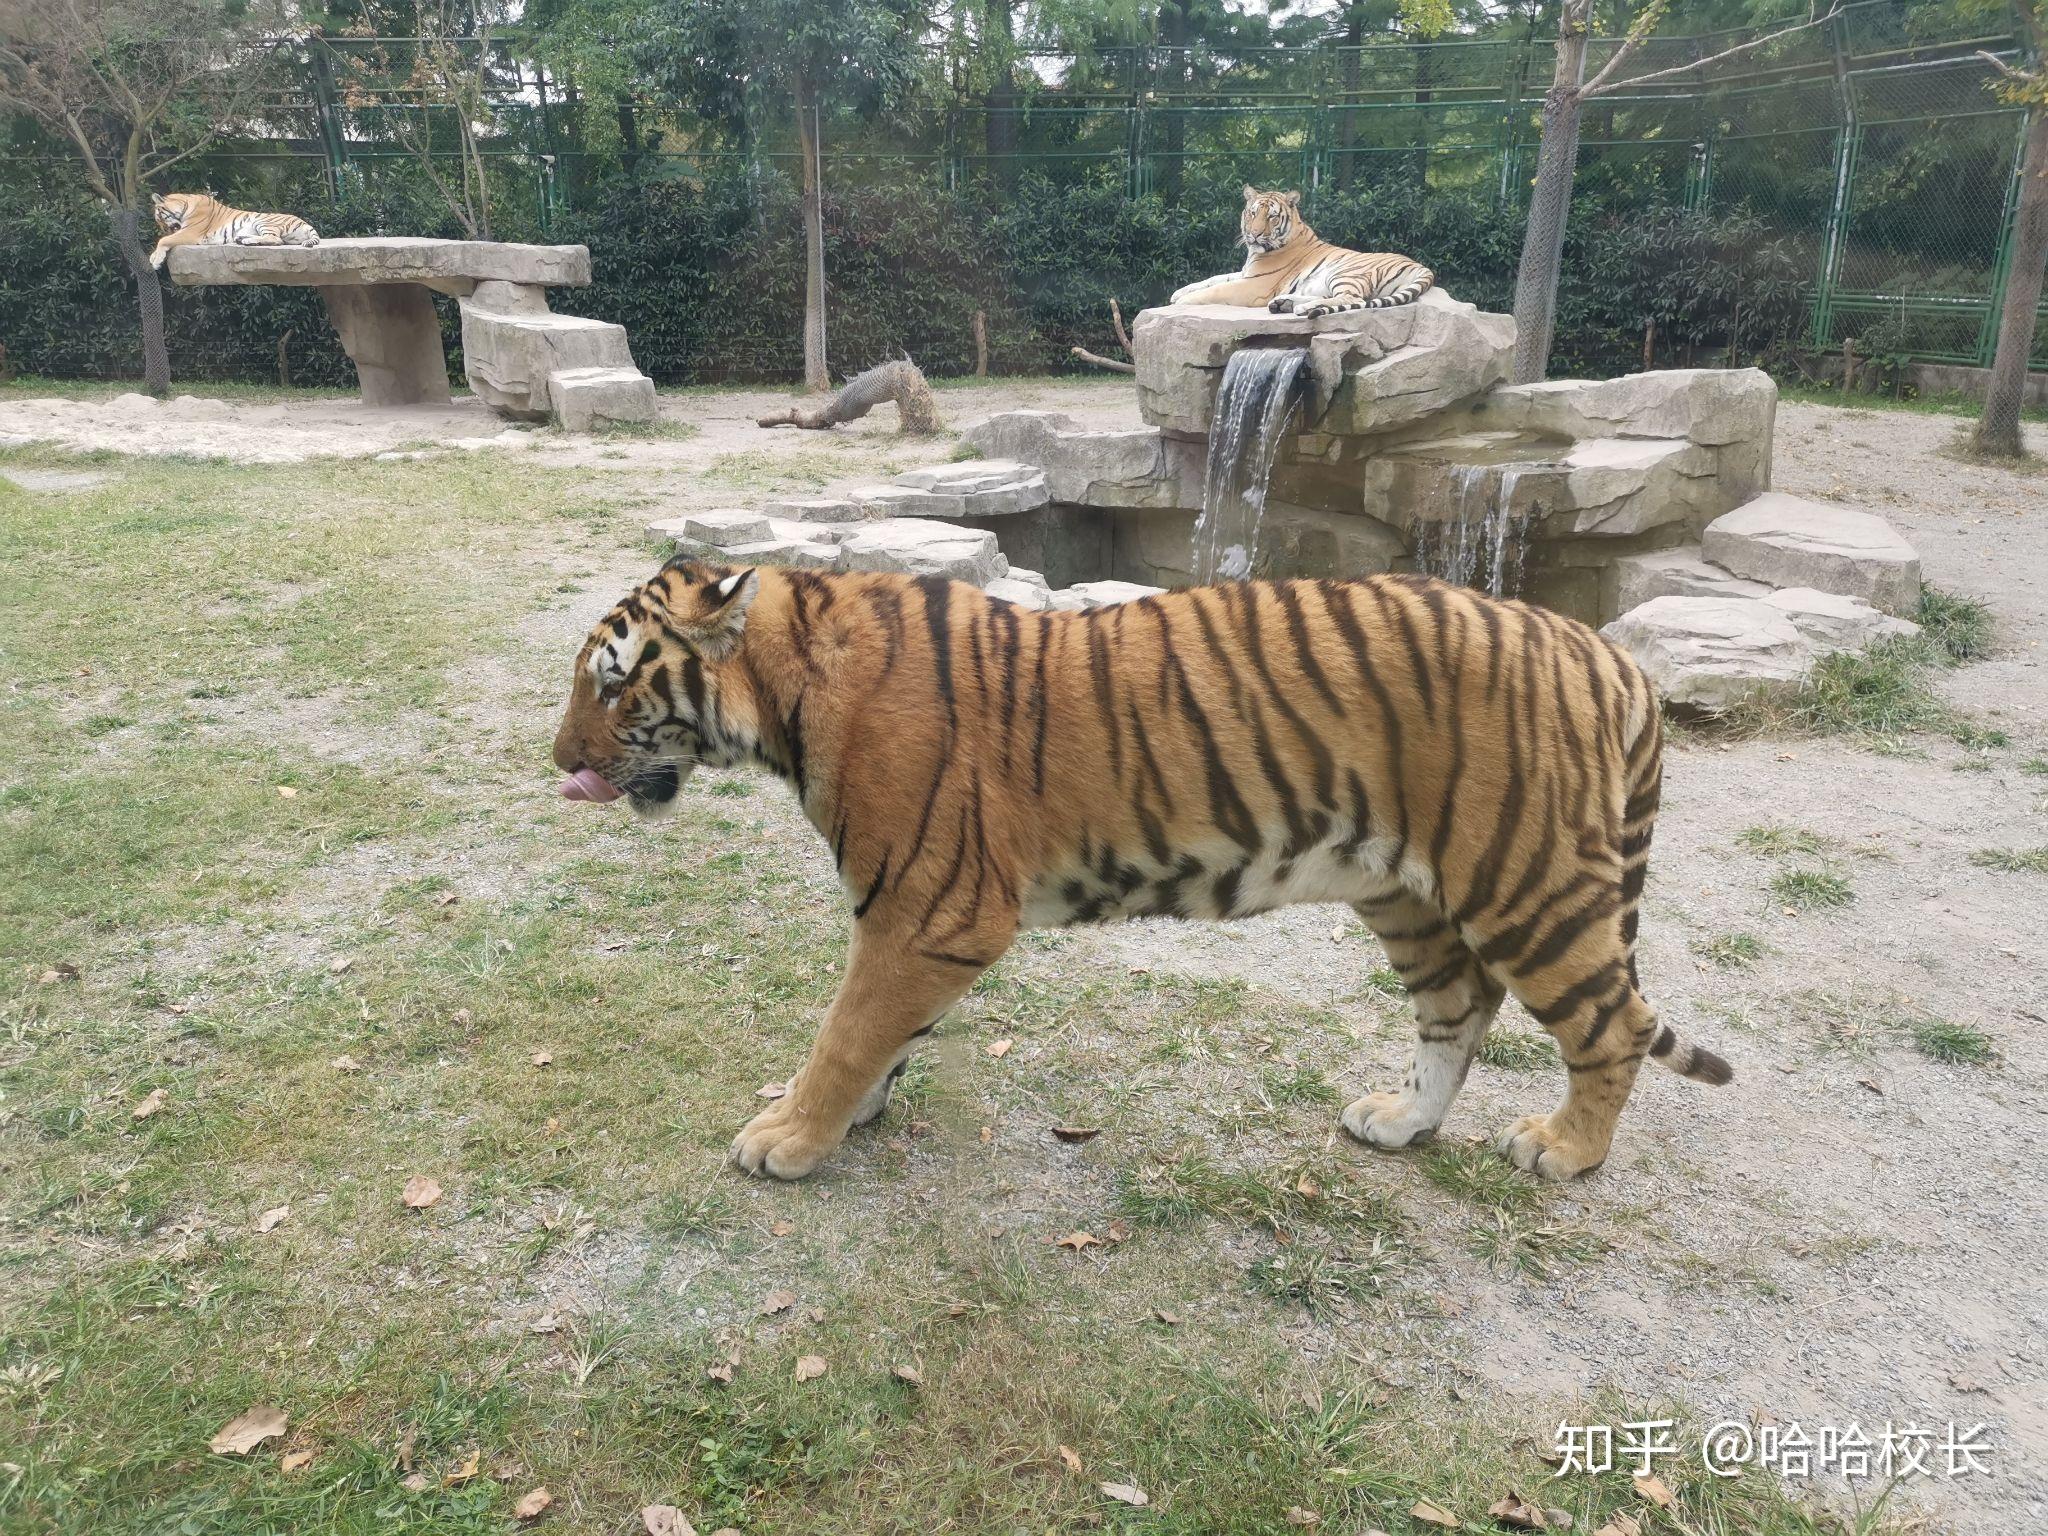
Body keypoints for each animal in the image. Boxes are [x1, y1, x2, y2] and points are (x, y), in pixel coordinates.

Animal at [148, 192, 319, 270]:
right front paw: (153, 257)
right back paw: (241, 238)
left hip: (262, 221)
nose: (164, 230)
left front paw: (156, 261)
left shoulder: (191, 232)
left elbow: (163, 241)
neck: (185, 203)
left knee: (276, 239)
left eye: (160, 219)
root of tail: (304, 222)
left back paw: (247, 240)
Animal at [548, 561, 1728, 1187]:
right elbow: (877, 1034)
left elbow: (845, 1031)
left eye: (612, 685)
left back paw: (1563, 1151)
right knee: (1461, 1007)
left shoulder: (929, 909)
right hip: (1403, 891)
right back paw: (1401, 1121)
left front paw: (789, 1138)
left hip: (1526, 879)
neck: (784, 691)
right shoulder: (915, 921)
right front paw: (851, 1114)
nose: (559, 763)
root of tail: (1610, 654)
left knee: (1612, 1026)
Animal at [1171, 185, 1441, 317]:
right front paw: (1177, 293)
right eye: (1252, 213)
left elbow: (1216, 289)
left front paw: (1182, 302)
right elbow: (1212, 279)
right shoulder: (1245, 273)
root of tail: (1422, 267)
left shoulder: (1254, 285)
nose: (1255, 234)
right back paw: (1284, 304)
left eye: (1271, 216)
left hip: (1344, 272)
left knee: (1353, 299)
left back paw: (1300, 309)